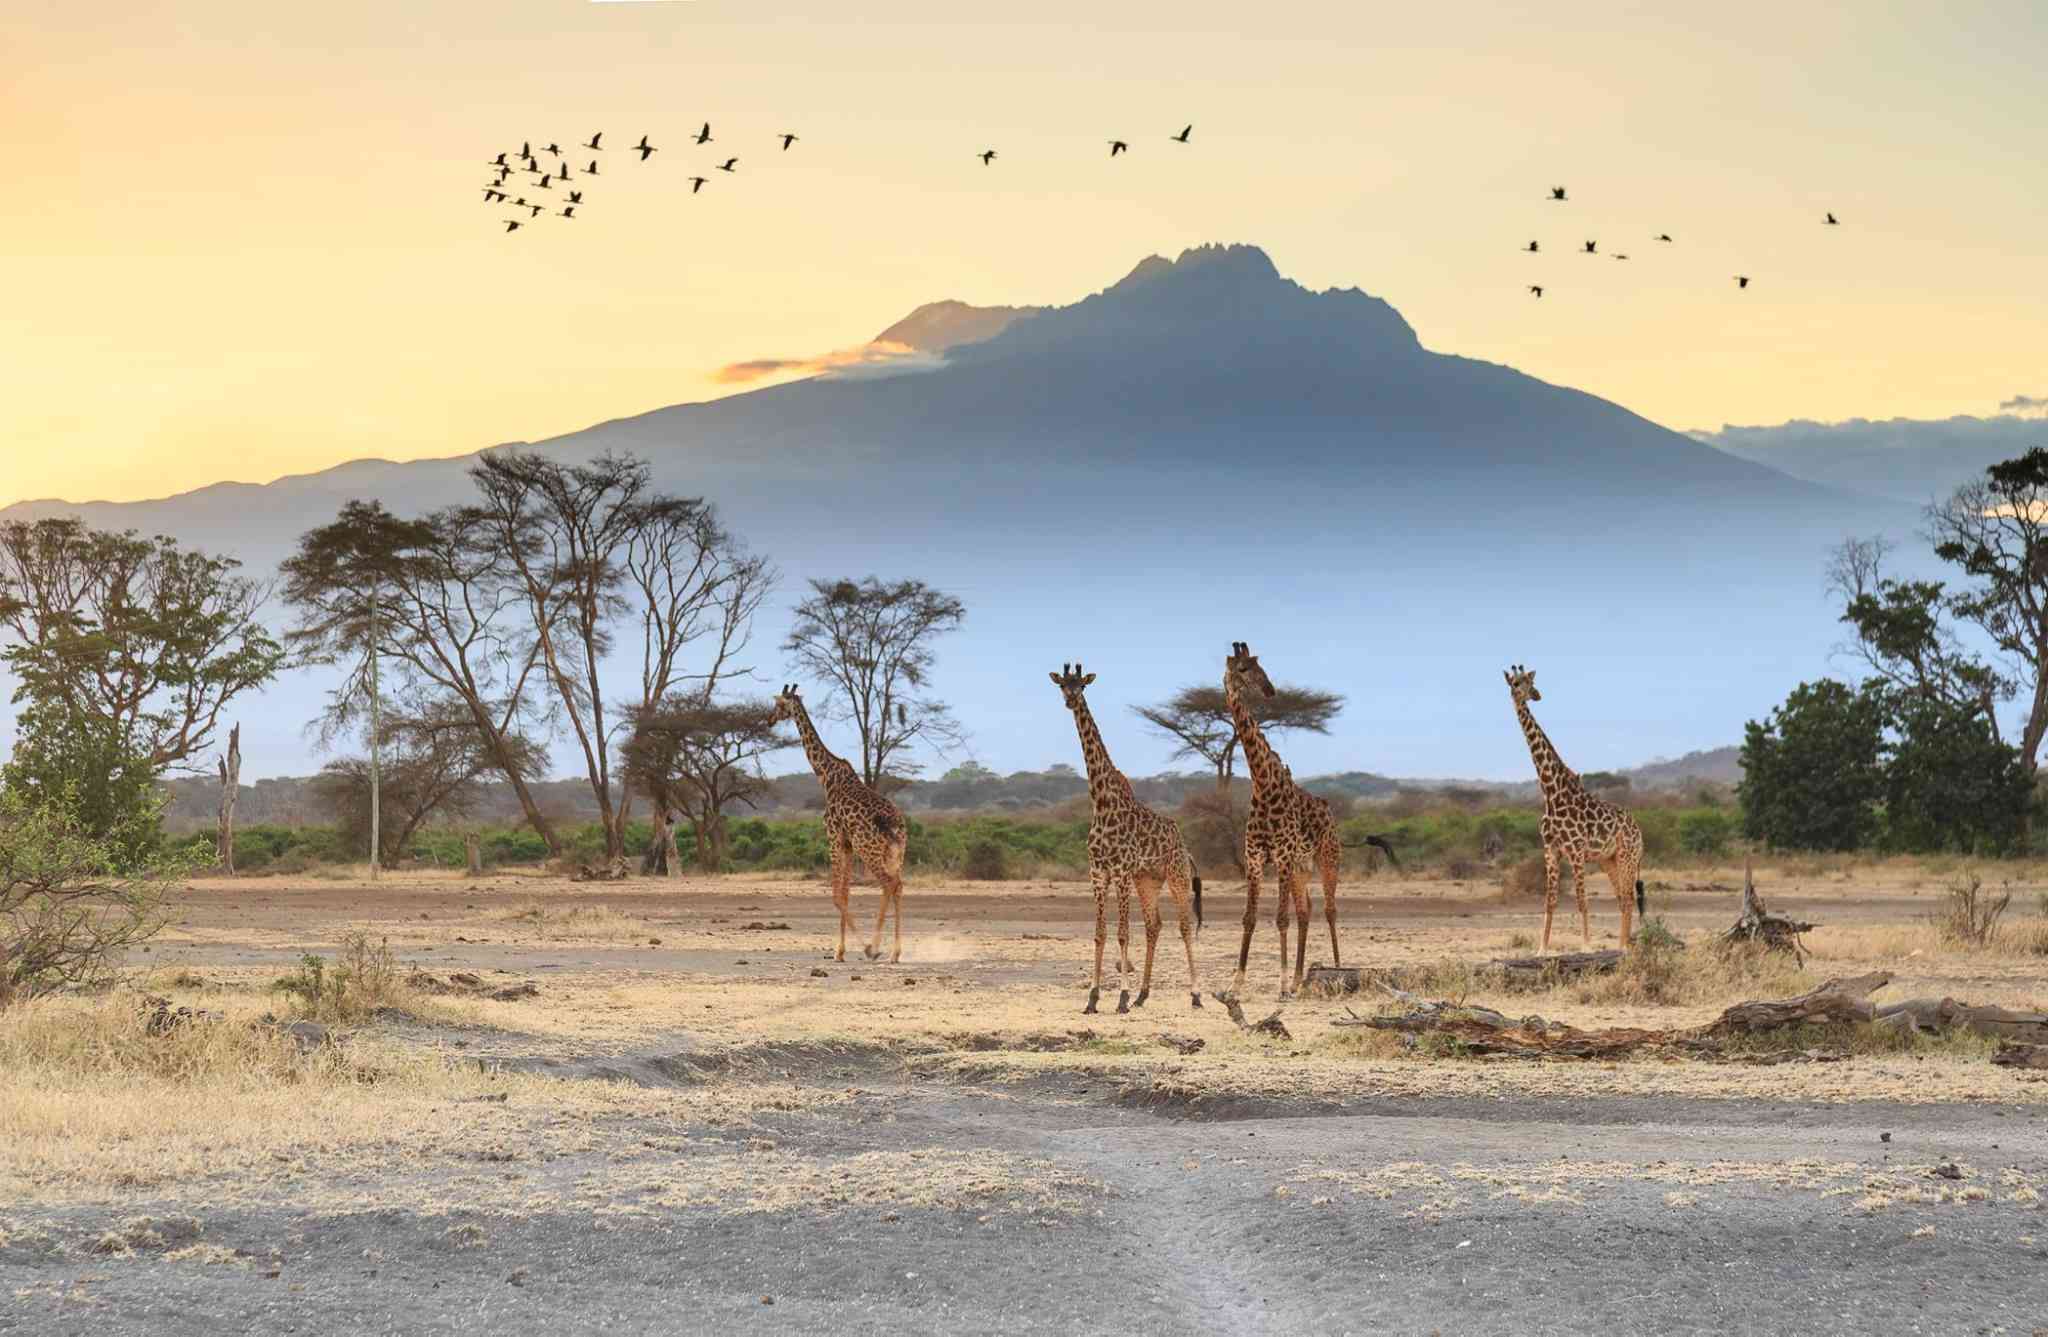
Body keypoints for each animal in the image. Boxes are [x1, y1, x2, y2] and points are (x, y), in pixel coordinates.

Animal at [770, 687, 909, 958]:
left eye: (779, 704)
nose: (768, 720)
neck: (826, 776)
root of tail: (894, 822)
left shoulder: (834, 837)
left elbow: (836, 895)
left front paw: (852, 949)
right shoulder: (847, 844)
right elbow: (845, 893)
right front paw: (841, 951)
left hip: (869, 849)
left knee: (887, 885)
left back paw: (877, 948)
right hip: (895, 852)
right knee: (897, 886)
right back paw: (894, 953)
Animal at [1048, 663, 1204, 1015]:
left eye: (1082, 685)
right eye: (1063, 684)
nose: (1070, 700)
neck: (1101, 802)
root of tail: (1184, 845)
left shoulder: (1119, 872)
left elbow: (1121, 934)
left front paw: (1119, 998)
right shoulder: (1097, 873)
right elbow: (1100, 934)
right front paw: (1093, 998)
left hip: (1176, 875)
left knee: (1184, 926)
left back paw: (1196, 994)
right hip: (1147, 880)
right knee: (1154, 925)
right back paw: (1142, 995)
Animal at [1220, 638, 1351, 999]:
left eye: (1261, 666)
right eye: (1242, 668)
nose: (1270, 690)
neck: (1263, 785)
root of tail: (1328, 809)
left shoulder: (1278, 857)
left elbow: (1280, 919)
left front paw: (1279, 985)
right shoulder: (1254, 859)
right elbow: (1249, 918)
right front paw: (1236, 985)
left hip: (1327, 857)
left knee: (1330, 909)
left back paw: (1334, 969)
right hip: (1300, 868)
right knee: (1306, 910)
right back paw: (1297, 978)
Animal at [1507, 663, 1646, 941]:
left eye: (1529, 682)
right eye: (1515, 683)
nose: (1534, 695)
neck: (1551, 792)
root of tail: (1639, 832)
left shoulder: (1576, 850)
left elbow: (1582, 901)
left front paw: (1587, 945)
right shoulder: (1551, 850)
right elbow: (1550, 902)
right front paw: (1542, 947)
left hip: (1627, 857)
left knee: (1628, 898)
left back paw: (1625, 946)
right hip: (1608, 860)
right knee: (1621, 899)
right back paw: (1621, 946)